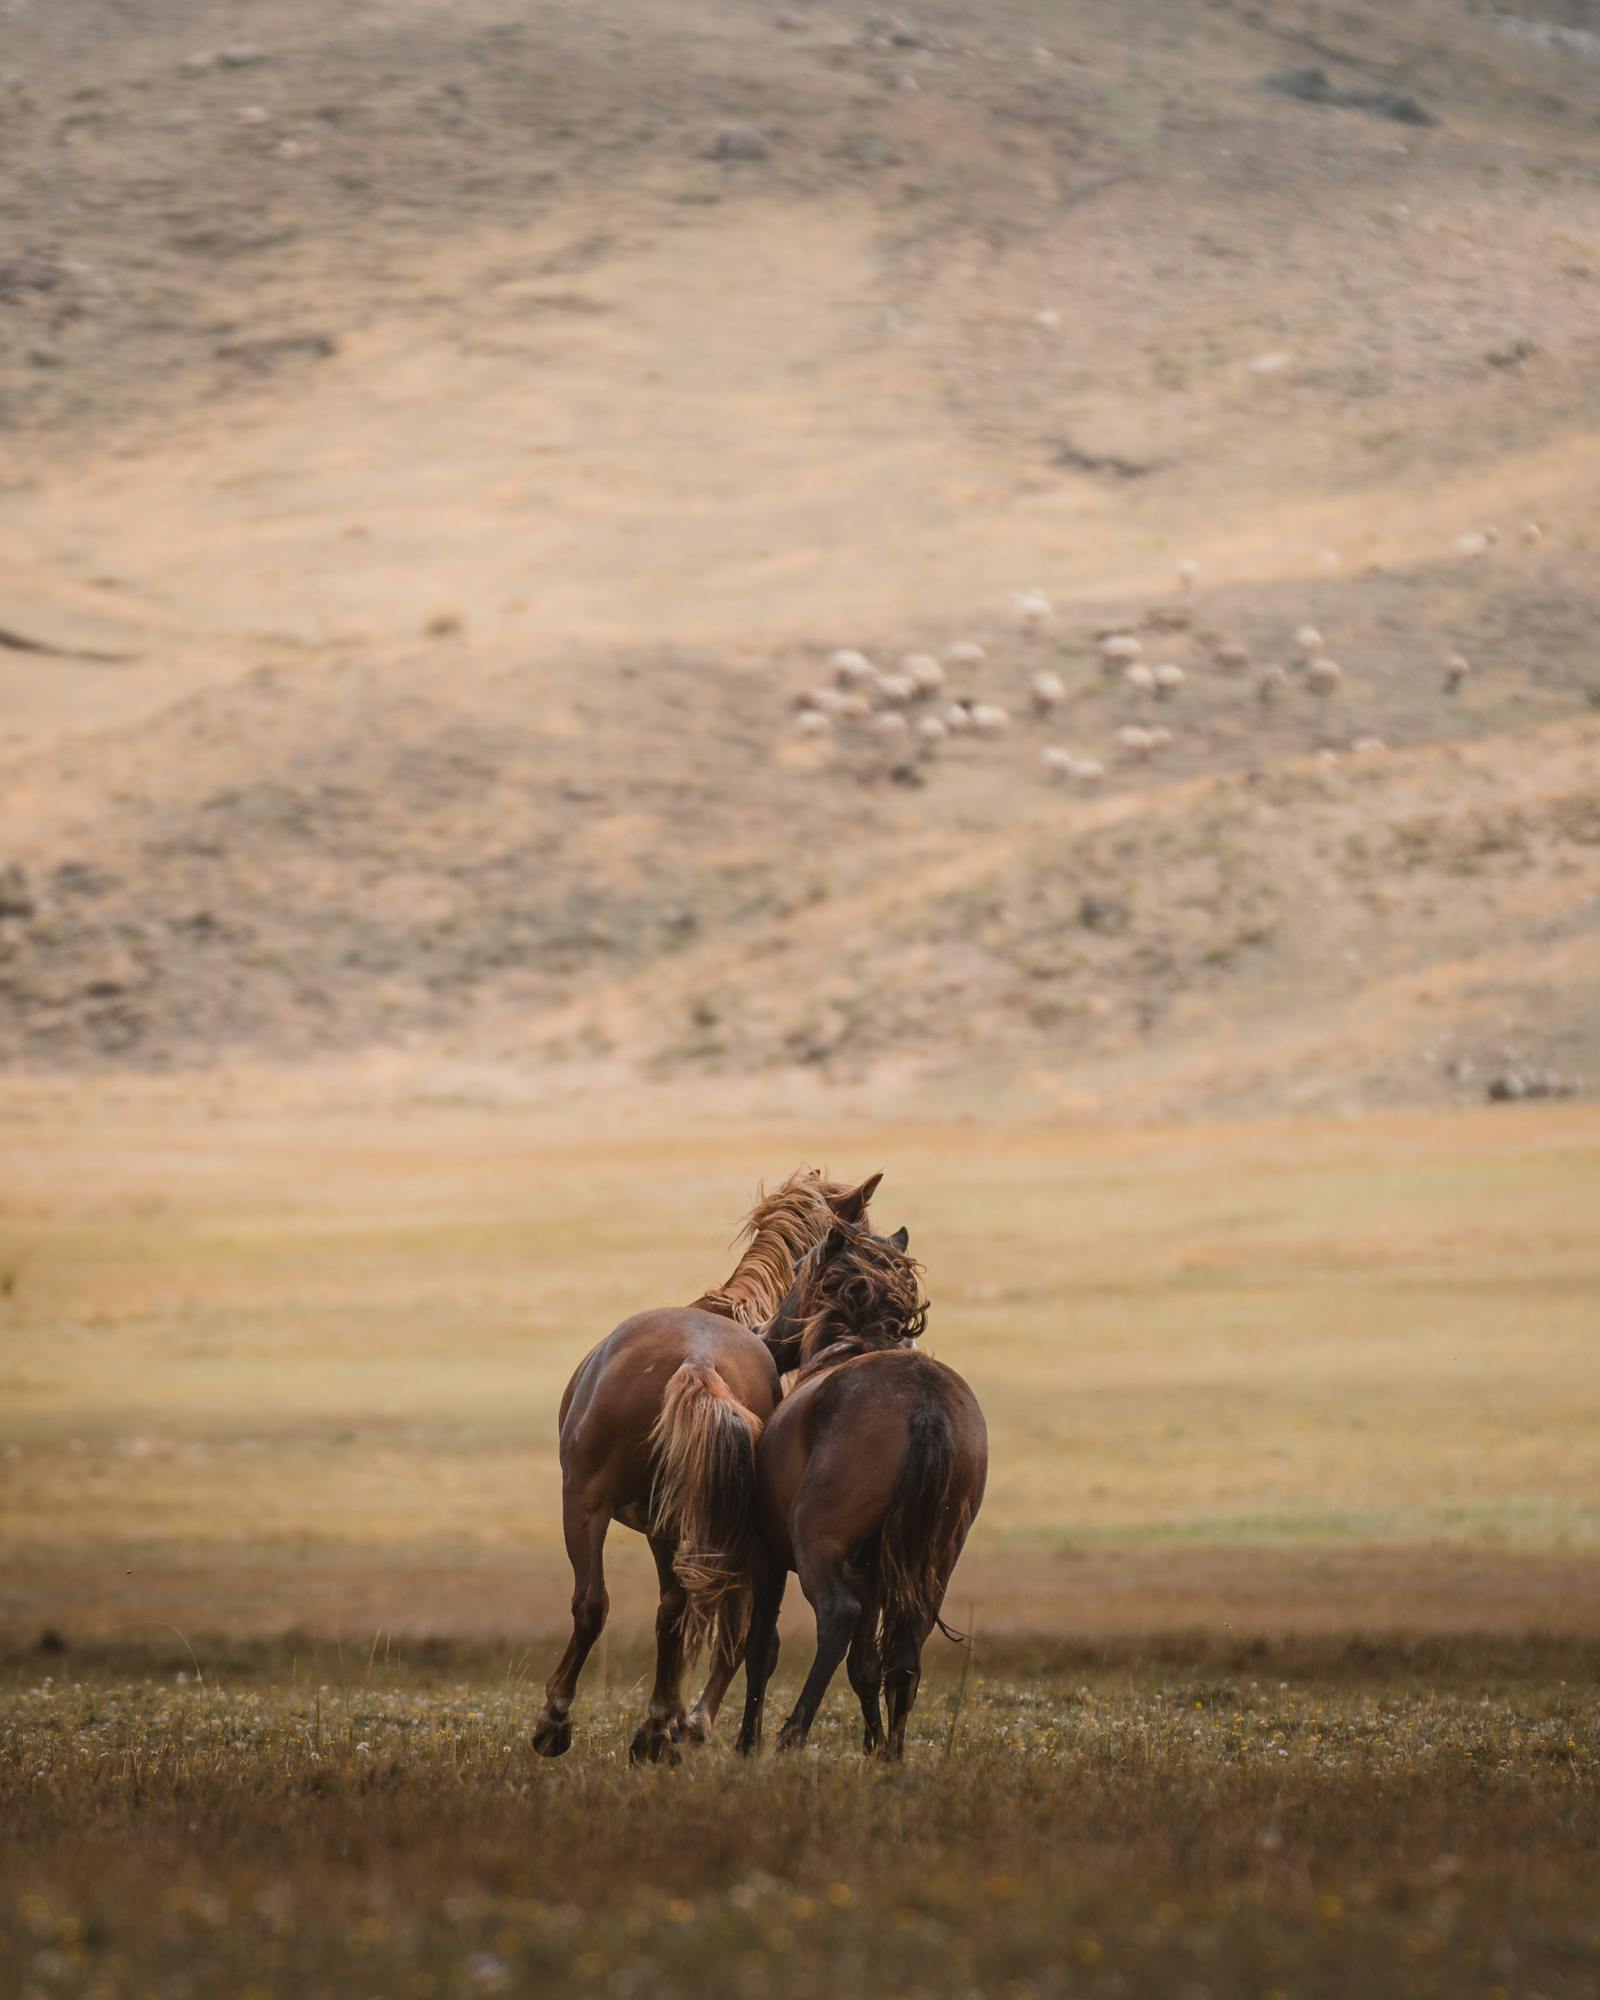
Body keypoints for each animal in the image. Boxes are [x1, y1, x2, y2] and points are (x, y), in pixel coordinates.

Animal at [532, 1168, 880, 1760]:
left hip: (592, 1505)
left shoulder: (660, 1526)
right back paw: (659, 1729)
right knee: (675, 1613)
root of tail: (696, 1362)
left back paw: (567, 1722)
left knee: (597, 1605)